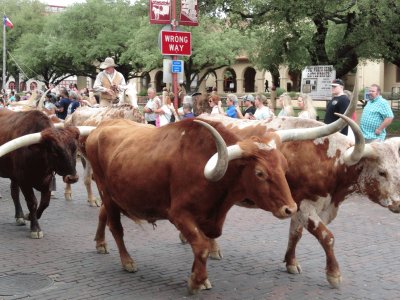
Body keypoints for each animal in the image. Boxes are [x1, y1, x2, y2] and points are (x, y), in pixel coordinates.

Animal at [0, 109, 91, 238]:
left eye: (75, 148)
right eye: (55, 151)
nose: (72, 178)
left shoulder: (47, 181)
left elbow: (45, 203)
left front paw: (28, 216)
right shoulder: (24, 181)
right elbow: (32, 202)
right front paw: (35, 228)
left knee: (14, 193)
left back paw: (19, 216)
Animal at [83, 115, 350, 296]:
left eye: (284, 167)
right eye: (260, 173)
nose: (291, 209)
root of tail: (102, 127)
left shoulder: (208, 219)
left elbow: (200, 246)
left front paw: (200, 278)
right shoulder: (179, 214)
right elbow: (201, 246)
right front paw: (195, 282)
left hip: (116, 196)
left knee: (104, 215)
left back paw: (99, 243)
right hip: (107, 192)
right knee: (116, 228)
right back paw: (127, 261)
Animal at [197, 113, 400, 288]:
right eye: (382, 172)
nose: (398, 204)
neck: (326, 159)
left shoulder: (297, 207)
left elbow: (295, 234)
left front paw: (291, 262)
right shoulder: (304, 206)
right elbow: (327, 237)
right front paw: (333, 274)